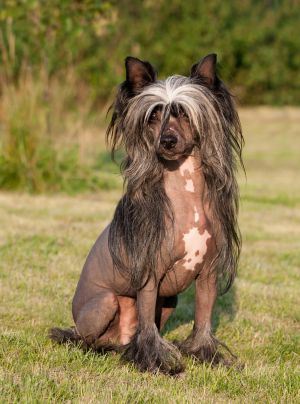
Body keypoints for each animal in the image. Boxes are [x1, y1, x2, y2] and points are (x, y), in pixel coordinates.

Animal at [49, 53, 244, 376]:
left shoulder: (208, 275)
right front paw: (154, 362)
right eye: (153, 117)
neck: (185, 195)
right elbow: (149, 330)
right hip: (104, 303)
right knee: (84, 338)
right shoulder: (149, 277)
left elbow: (203, 320)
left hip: (170, 300)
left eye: (186, 115)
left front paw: (205, 356)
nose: (167, 141)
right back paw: (100, 348)